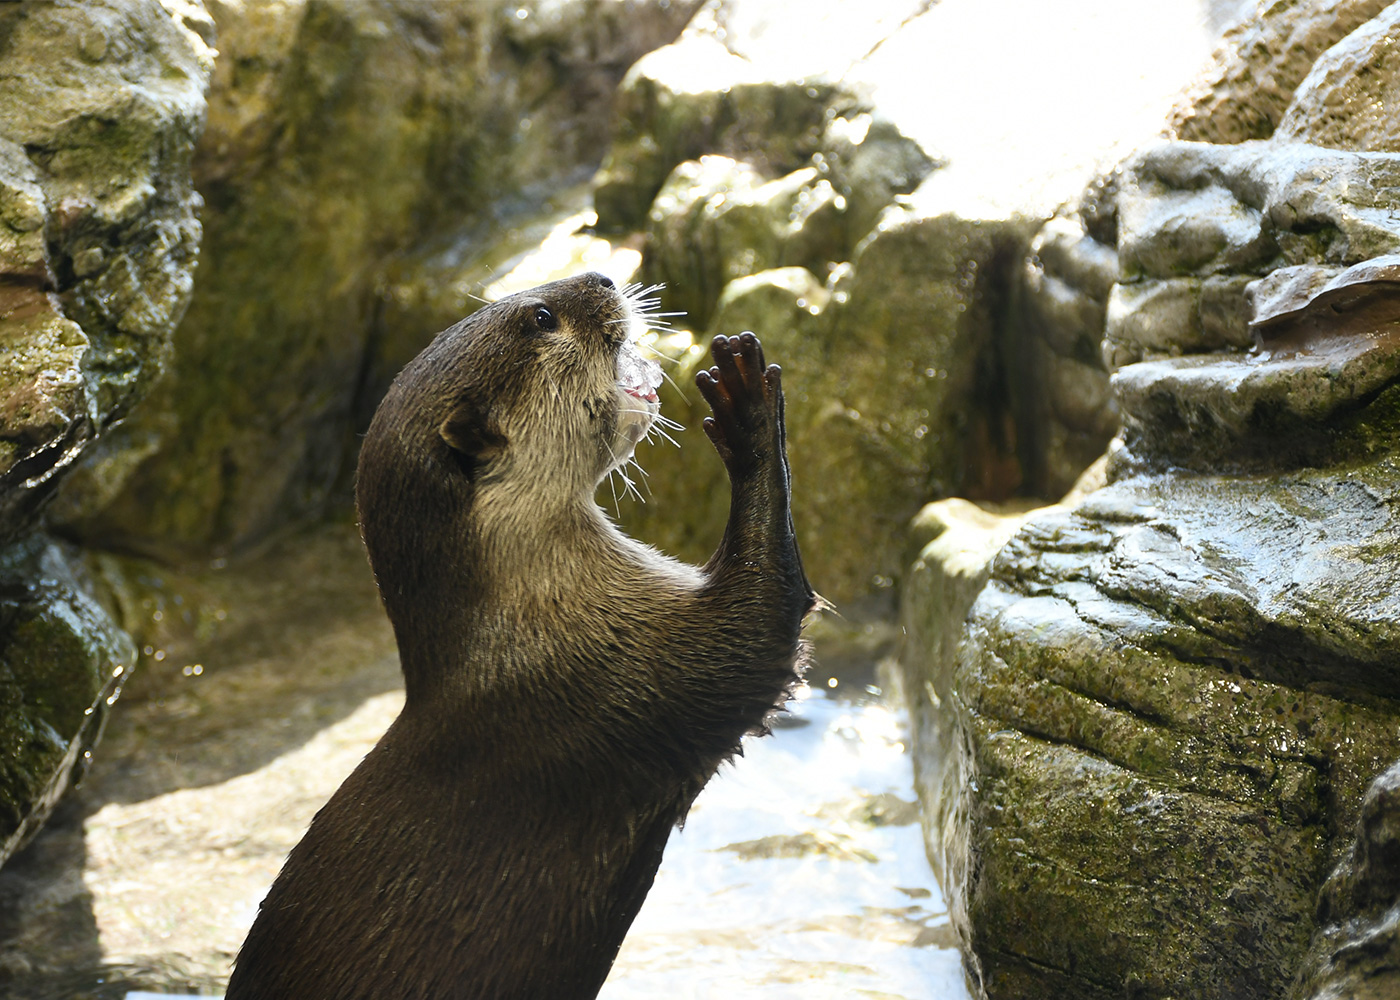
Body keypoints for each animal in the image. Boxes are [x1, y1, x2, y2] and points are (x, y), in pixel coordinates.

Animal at [217, 270, 812, 997]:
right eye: (542, 317)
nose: (604, 276)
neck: (536, 622)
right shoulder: (633, 677)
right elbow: (757, 630)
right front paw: (747, 411)